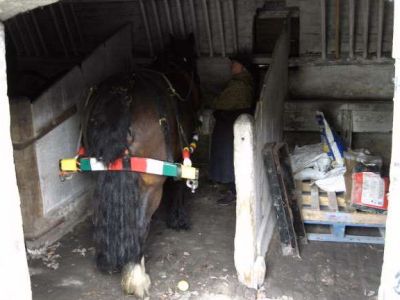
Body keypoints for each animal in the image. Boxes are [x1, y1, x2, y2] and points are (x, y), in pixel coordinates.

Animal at [86, 34, 202, 298]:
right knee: (140, 223)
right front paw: (178, 218)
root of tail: (122, 96)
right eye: (193, 57)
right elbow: (179, 183)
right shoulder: (180, 155)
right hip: (150, 183)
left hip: (100, 174)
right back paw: (136, 276)